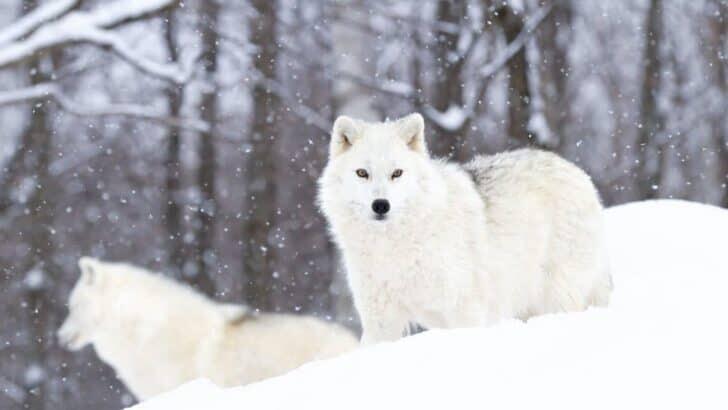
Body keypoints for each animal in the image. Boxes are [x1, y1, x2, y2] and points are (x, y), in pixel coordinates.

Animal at [318, 113, 612, 345]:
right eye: (362, 173)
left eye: (397, 173)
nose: (381, 205)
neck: (394, 246)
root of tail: (577, 172)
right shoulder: (379, 323)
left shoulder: (465, 311)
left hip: (555, 297)